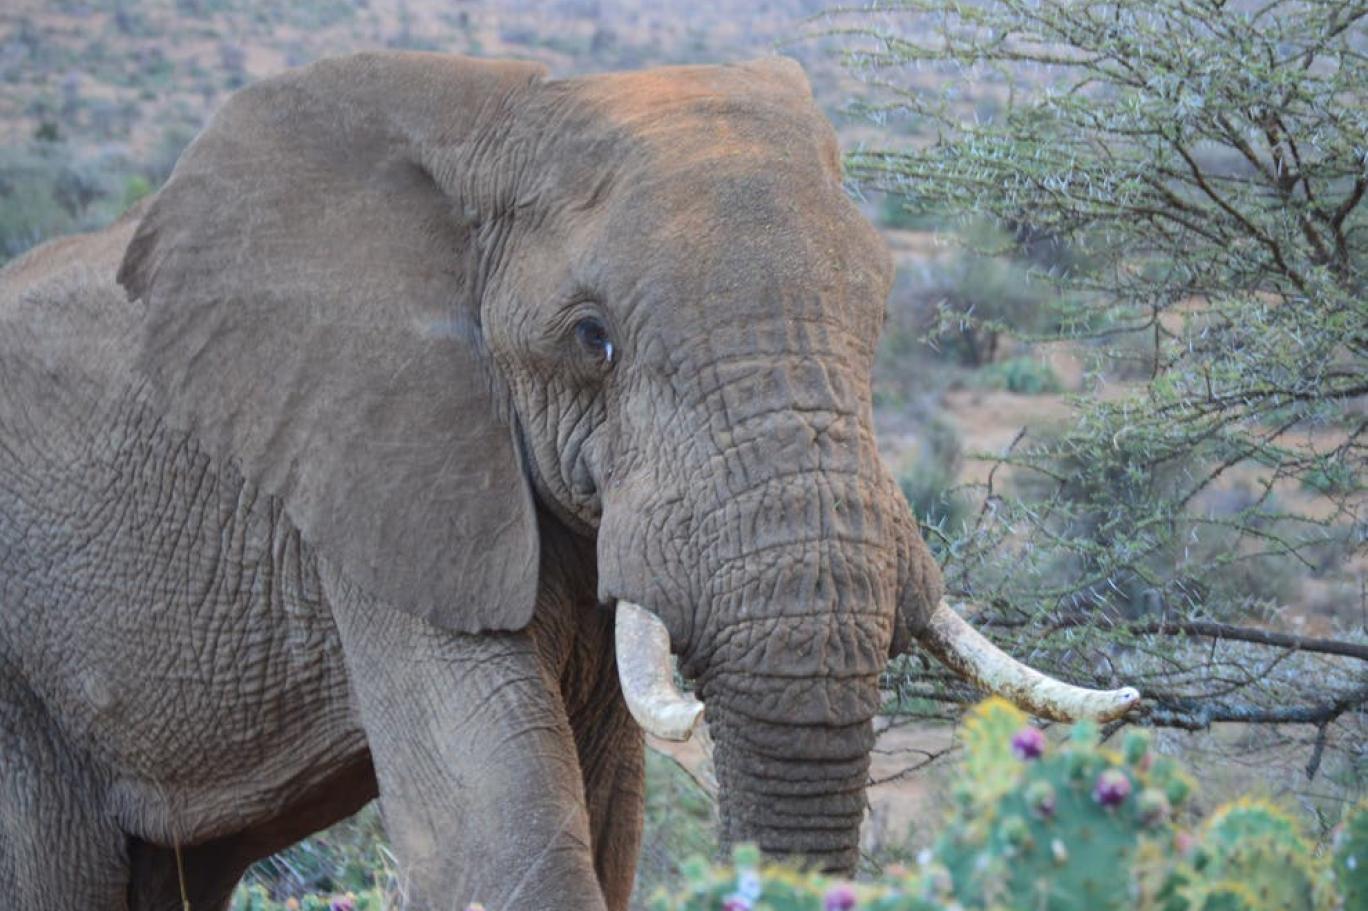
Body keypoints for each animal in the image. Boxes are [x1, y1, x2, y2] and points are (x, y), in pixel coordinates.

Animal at [0, 51, 1132, 908]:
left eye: (881, 312)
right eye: (593, 338)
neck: (501, 114)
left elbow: (606, 823)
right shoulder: (376, 472)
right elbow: (499, 844)